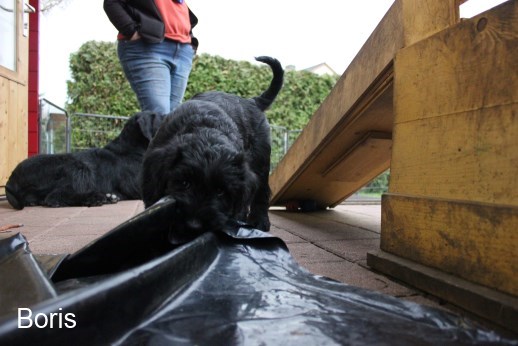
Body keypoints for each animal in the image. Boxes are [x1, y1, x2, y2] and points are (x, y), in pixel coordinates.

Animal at [141, 56, 284, 241]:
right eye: (184, 183)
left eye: (220, 191)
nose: (194, 226)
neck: (205, 130)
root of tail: (251, 101)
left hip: (261, 159)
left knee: (262, 191)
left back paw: (259, 221)